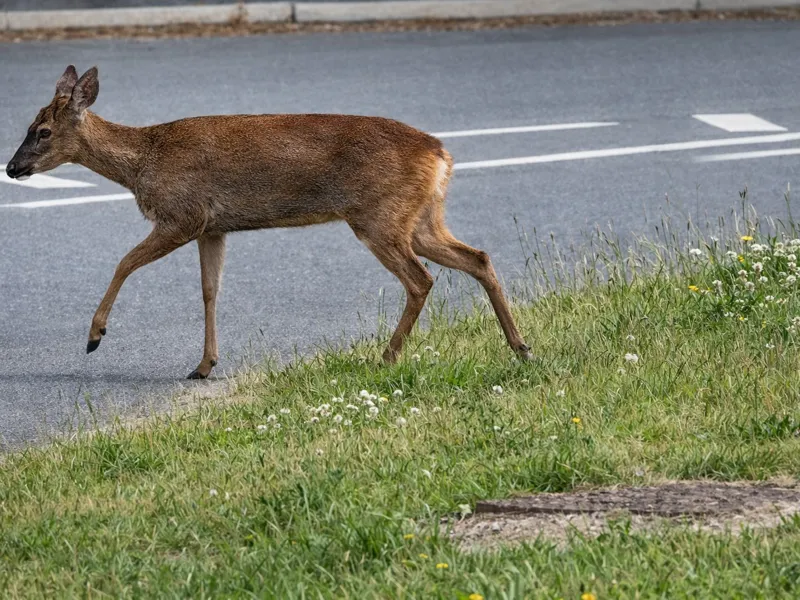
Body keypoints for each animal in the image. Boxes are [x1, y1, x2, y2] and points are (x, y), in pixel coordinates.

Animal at [6, 65, 533, 379]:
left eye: (42, 131)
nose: (11, 168)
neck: (143, 164)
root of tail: (441, 153)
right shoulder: (212, 226)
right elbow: (210, 291)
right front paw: (204, 365)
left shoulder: (183, 213)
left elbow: (124, 262)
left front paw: (95, 336)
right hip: (420, 218)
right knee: (478, 257)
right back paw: (520, 346)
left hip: (379, 216)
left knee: (421, 279)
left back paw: (387, 356)